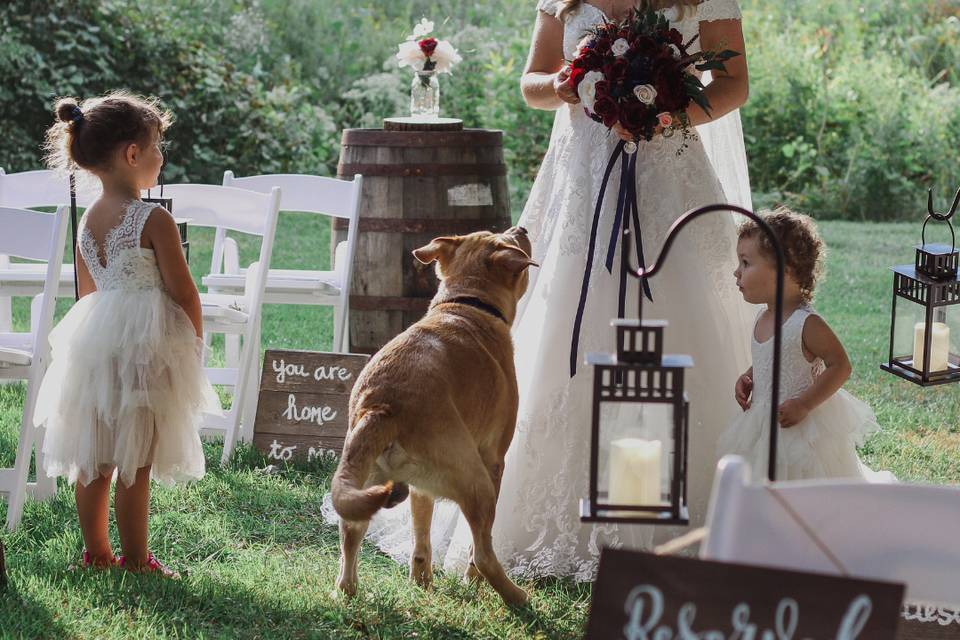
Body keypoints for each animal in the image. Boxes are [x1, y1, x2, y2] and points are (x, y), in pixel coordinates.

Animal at [334, 229, 536, 604]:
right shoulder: (494, 460)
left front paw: (421, 581)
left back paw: (351, 591)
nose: (521, 230)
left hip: (364, 483)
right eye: (504, 238)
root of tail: (382, 406)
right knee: (482, 554)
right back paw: (514, 596)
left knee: (350, 540)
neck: (466, 303)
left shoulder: (419, 489)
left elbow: (421, 536)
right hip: (478, 483)